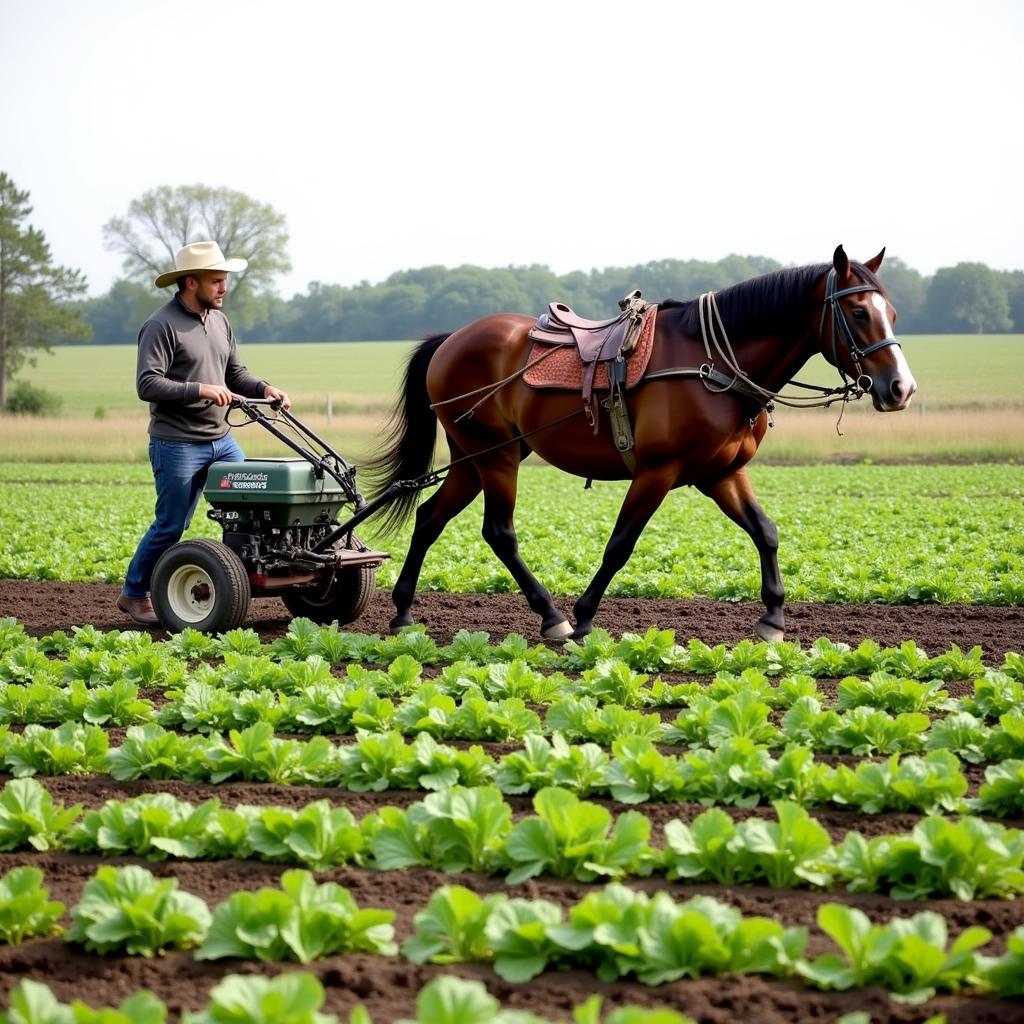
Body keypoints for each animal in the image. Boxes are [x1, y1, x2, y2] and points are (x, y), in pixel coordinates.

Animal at [368, 245, 921, 638]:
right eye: (858, 313)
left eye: (893, 312)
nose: (901, 388)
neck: (710, 363)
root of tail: (454, 338)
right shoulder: (657, 472)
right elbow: (621, 544)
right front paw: (584, 617)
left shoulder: (721, 473)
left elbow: (766, 532)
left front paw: (773, 618)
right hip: (498, 456)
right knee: (499, 532)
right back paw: (552, 616)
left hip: (473, 457)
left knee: (429, 519)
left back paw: (403, 612)